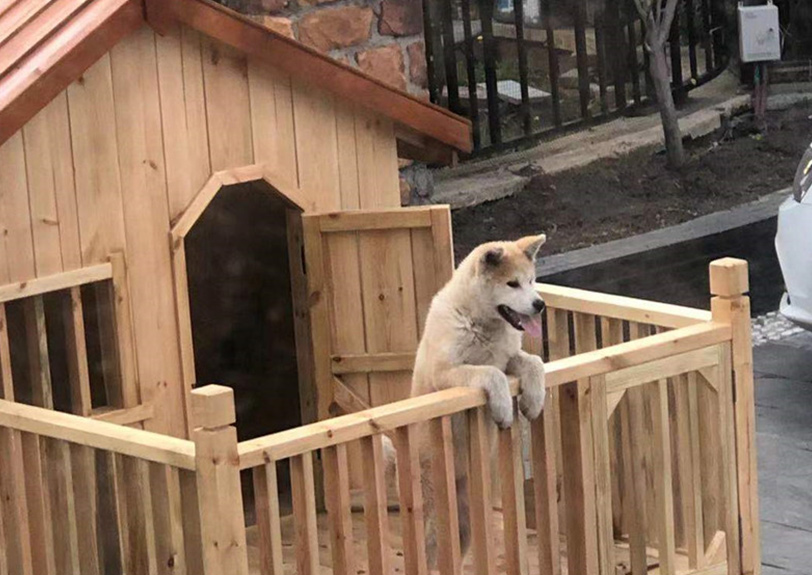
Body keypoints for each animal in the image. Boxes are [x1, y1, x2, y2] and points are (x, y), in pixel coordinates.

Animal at [385, 234, 548, 569]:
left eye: (531, 280)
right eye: (512, 284)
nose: (540, 304)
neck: (479, 323)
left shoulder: (508, 357)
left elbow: (533, 362)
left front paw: (534, 400)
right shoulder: (445, 374)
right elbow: (489, 374)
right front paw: (503, 409)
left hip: (466, 520)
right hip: (432, 516)